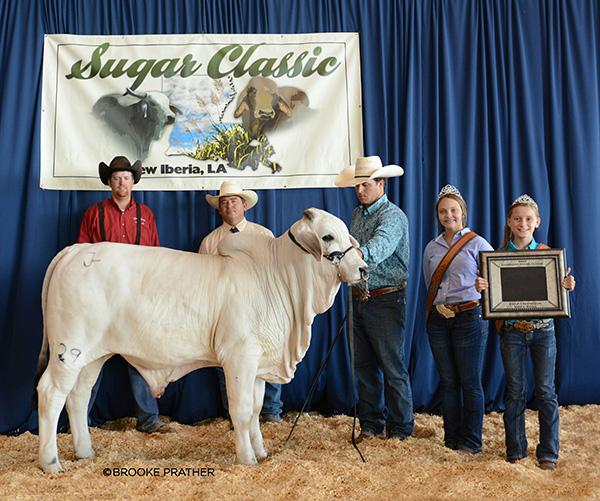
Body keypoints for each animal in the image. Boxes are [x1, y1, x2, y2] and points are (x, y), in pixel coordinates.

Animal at [37, 208, 368, 472]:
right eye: (328, 237)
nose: (363, 269)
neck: (280, 280)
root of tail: (76, 250)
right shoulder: (239, 357)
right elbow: (241, 411)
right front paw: (247, 459)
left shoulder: (259, 365)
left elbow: (256, 410)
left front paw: (261, 451)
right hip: (69, 350)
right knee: (51, 393)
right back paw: (51, 463)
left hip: (94, 355)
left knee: (78, 396)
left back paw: (85, 452)